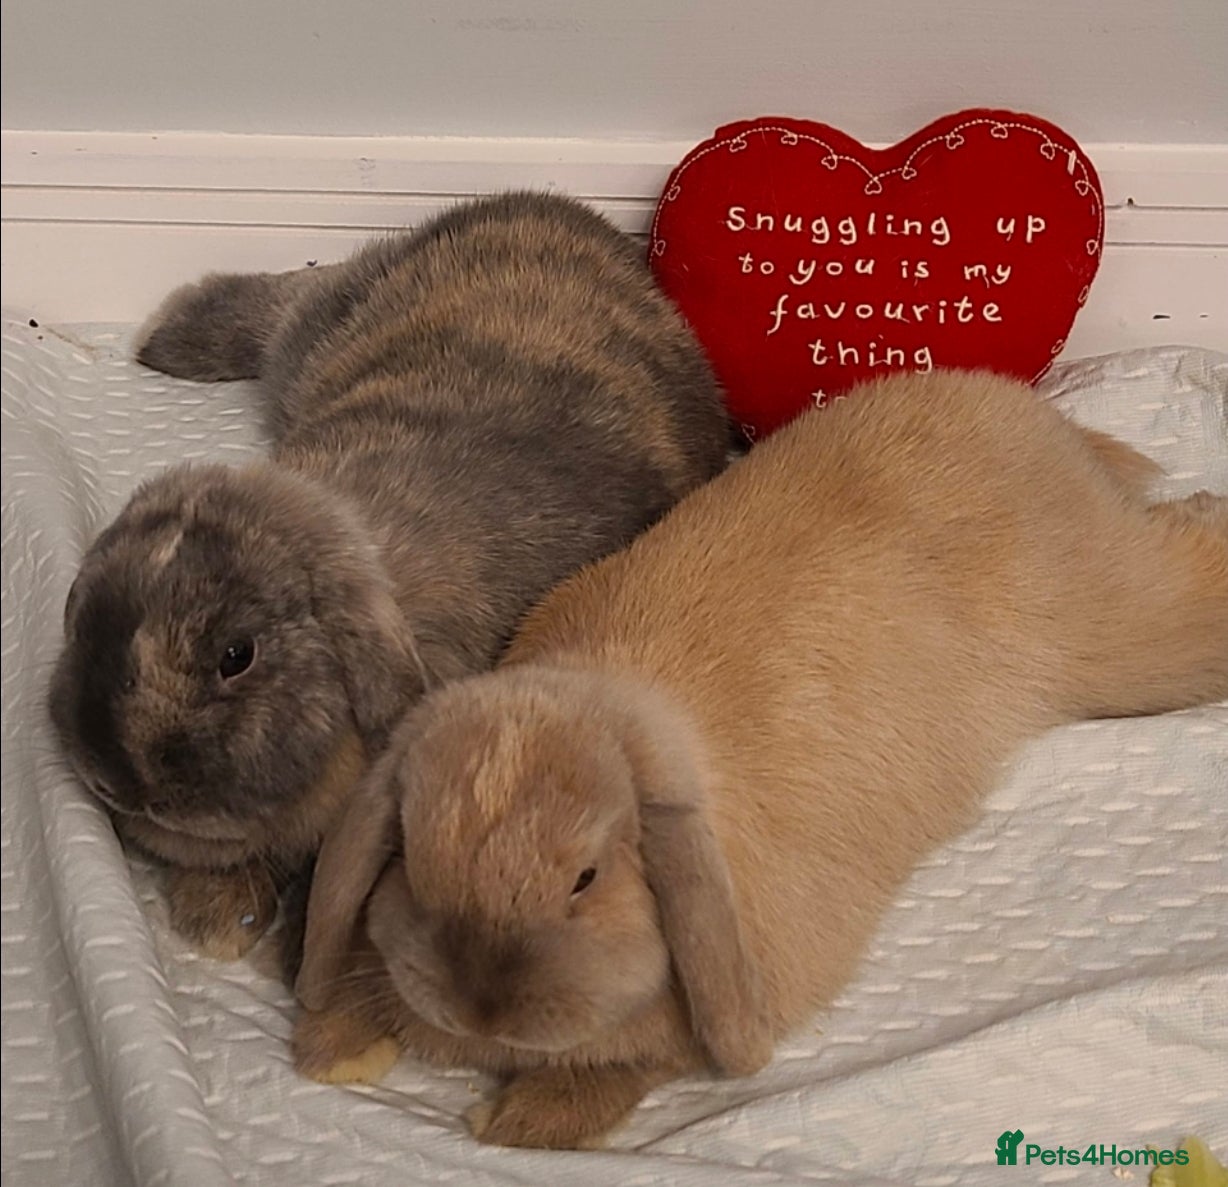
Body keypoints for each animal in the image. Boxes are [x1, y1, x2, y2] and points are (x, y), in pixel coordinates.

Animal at [48, 191, 730, 968]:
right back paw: (168, 336)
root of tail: (566, 213)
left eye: (236, 656)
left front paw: (232, 924)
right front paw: (215, 914)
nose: (114, 779)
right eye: (82, 621)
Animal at [291, 368, 1228, 1149]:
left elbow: (631, 1069)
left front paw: (524, 1118)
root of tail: (1030, 415)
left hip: (1119, 632)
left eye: (586, 878)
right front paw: (335, 1047)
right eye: (412, 859)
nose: (482, 1010)